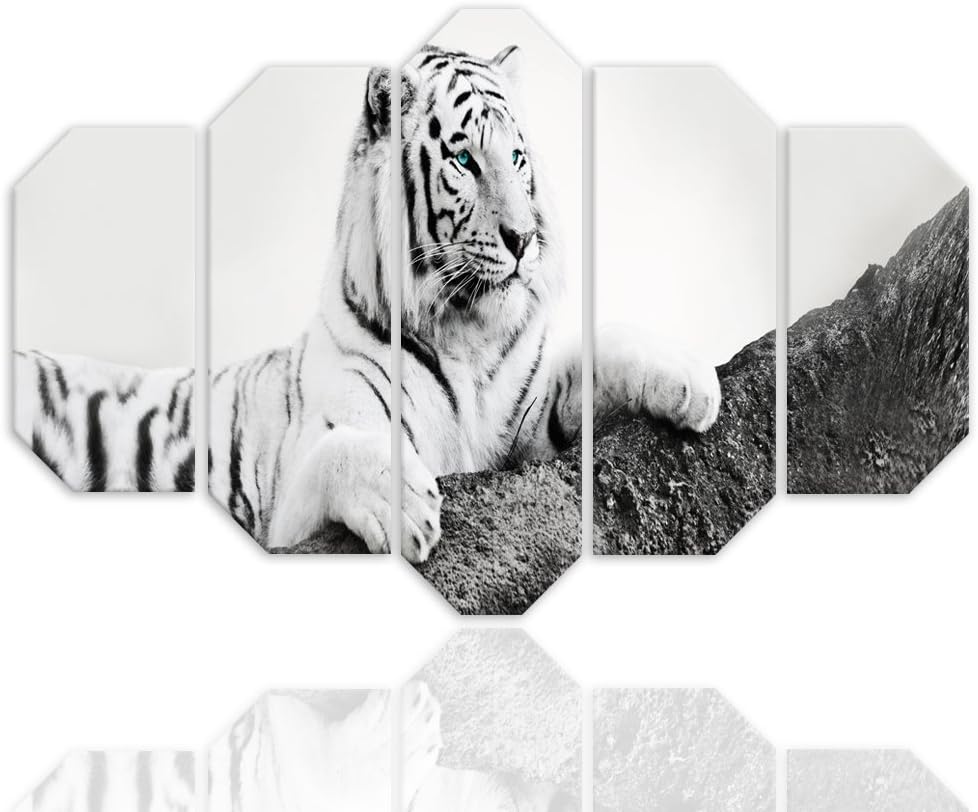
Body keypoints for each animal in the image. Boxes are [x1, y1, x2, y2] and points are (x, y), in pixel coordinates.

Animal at [14, 45, 720, 562]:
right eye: (464, 160)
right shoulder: (286, 509)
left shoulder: (528, 422)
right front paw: (407, 504)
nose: (525, 240)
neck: (466, 329)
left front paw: (693, 382)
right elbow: (341, 452)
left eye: (518, 158)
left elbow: (601, 353)